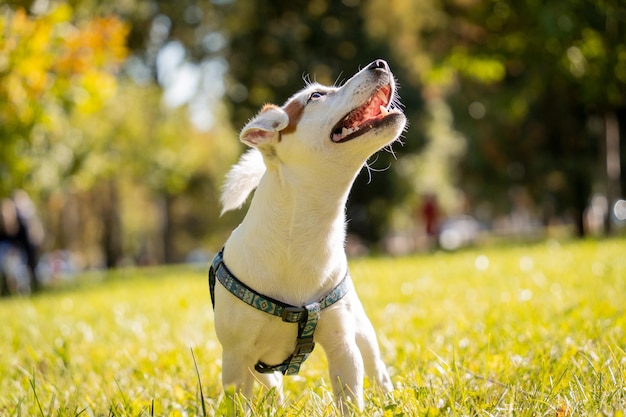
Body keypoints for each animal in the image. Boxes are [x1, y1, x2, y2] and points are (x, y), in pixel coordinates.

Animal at [210, 58, 404, 410]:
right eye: (316, 96)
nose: (379, 63)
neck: (305, 231)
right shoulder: (235, 360)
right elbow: (240, 402)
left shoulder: (343, 347)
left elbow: (350, 398)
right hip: (258, 367)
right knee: (272, 385)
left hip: (363, 331)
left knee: (377, 368)